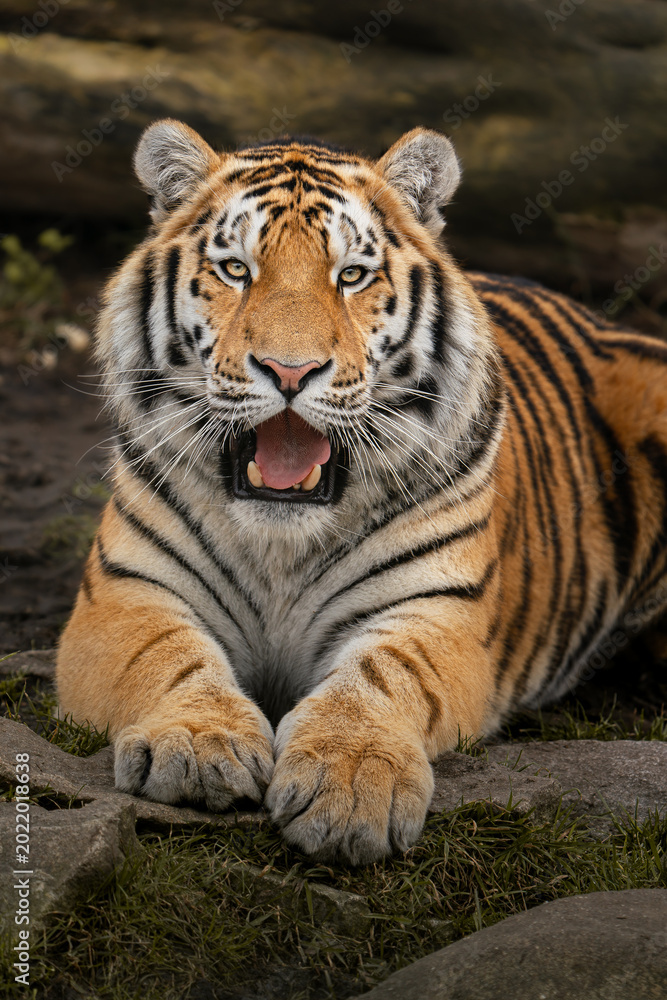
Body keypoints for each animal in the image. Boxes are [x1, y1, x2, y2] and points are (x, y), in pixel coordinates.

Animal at [56, 119, 667, 865]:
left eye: (351, 276)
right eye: (236, 270)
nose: (290, 371)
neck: (280, 542)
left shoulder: (435, 612)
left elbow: (379, 676)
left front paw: (349, 786)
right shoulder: (123, 595)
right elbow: (164, 656)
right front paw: (198, 744)